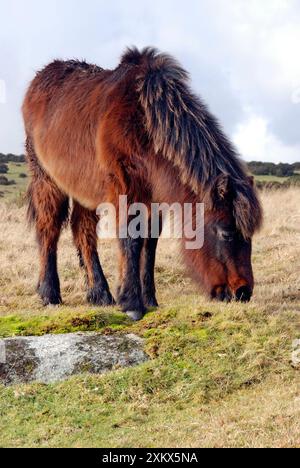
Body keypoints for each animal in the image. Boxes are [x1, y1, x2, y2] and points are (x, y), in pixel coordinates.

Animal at [22, 47, 262, 322]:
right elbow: (131, 239)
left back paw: (100, 294)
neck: (143, 123)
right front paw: (132, 303)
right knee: (48, 230)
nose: (242, 292)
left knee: (83, 232)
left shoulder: (153, 198)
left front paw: (149, 299)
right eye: (225, 233)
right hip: (46, 180)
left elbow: (150, 244)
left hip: (84, 188)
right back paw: (50, 294)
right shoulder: (126, 189)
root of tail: (40, 78)